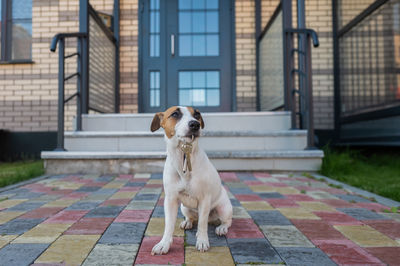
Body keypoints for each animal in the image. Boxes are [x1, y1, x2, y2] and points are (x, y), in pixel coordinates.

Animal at [148, 107, 233, 255]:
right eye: (175, 114)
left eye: (197, 114)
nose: (195, 124)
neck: (184, 154)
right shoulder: (170, 200)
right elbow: (169, 225)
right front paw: (164, 244)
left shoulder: (205, 199)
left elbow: (202, 224)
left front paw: (202, 241)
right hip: (184, 207)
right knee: (192, 218)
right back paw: (187, 222)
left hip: (223, 208)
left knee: (225, 221)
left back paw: (221, 228)